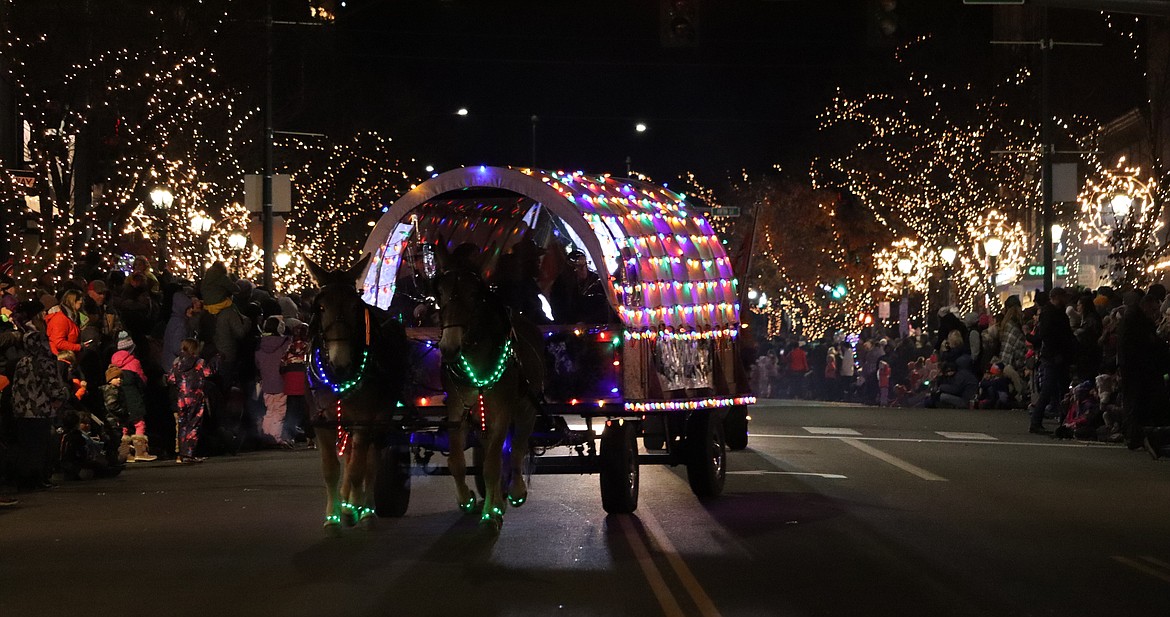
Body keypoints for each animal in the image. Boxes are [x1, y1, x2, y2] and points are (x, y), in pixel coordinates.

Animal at [306, 254, 411, 533]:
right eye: (320, 307)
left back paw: (365, 509)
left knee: (370, 460)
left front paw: (354, 510)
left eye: (355, 307)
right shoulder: (321, 420)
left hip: (381, 416)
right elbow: (331, 469)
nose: (340, 363)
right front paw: (332, 518)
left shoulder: (364, 418)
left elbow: (357, 470)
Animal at [432, 243, 545, 533]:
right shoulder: (456, 411)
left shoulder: (502, 412)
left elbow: (494, 464)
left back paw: (513, 493)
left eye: (474, 293)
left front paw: (491, 514)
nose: (448, 348)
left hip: (527, 408)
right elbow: (457, 462)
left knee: (516, 449)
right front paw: (467, 500)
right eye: (440, 292)